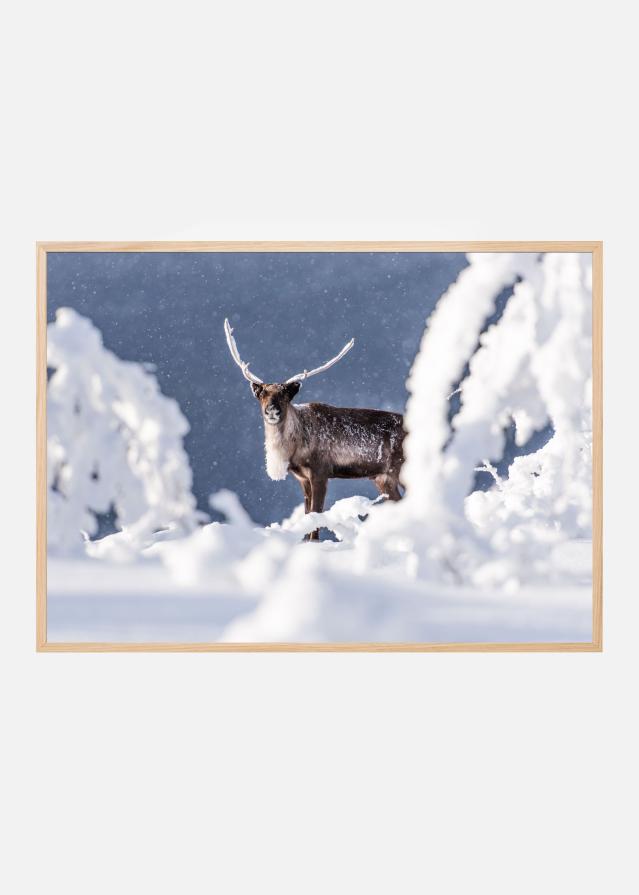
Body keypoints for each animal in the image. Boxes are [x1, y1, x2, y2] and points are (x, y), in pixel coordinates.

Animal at [224, 319, 405, 540]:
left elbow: (316, 515)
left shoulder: (320, 472)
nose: (272, 410)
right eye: (263, 394)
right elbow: (307, 514)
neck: (293, 450)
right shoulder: (302, 478)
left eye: (285, 394)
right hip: (382, 478)